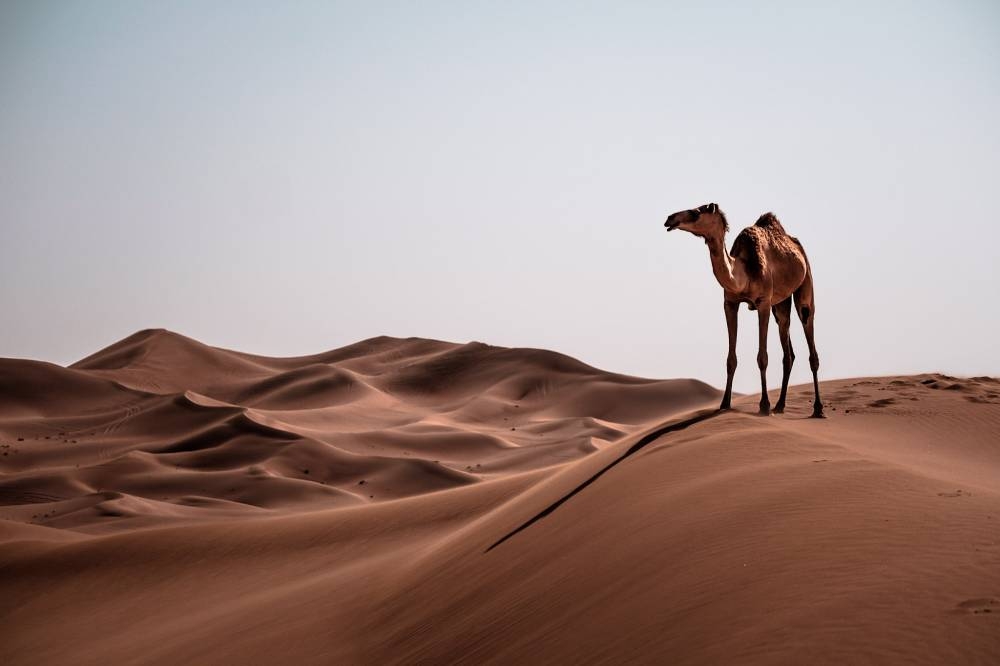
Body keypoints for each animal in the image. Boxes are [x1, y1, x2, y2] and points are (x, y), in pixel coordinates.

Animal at [660, 204, 824, 416]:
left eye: (697, 212)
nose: (670, 218)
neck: (743, 272)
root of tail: (797, 247)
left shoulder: (763, 302)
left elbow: (762, 357)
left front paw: (764, 405)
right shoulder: (730, 303)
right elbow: (731, 359)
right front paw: (725, 403)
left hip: (805, 284)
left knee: (809, 332)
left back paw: (817, 409)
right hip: (781, 303)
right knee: (788, 349)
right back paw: (780, 405)